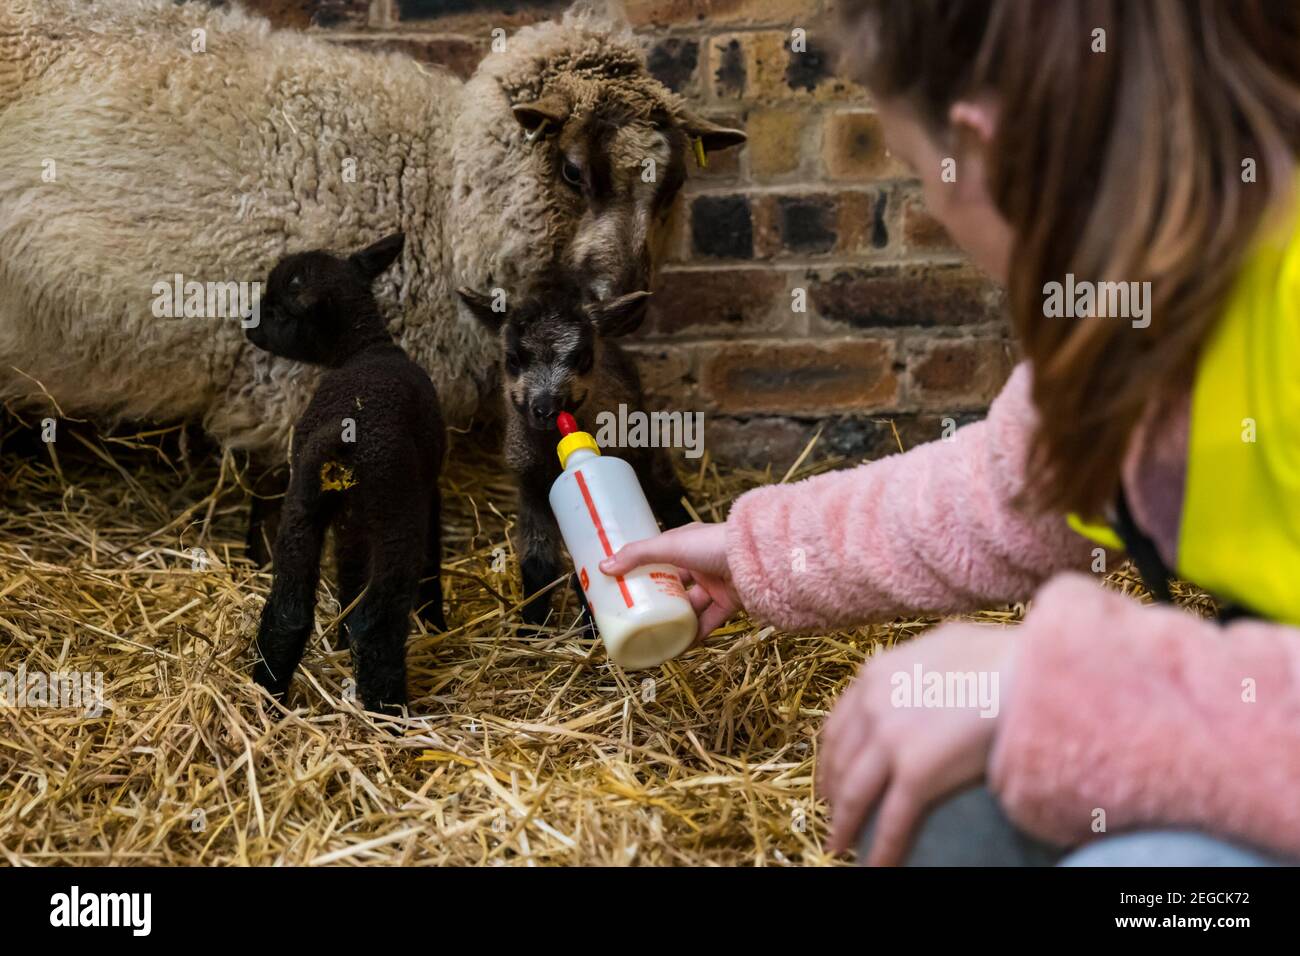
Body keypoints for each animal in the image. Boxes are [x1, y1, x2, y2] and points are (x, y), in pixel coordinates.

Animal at [247, 232, 445, 715]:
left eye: (278, 309)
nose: (247, 324)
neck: (364, 347)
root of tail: (344, 439)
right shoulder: (426, 493)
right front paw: (436, 621)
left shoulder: (348, 518)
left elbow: (349, 572)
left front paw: (337, 642)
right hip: (397, 520)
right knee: (376, 623)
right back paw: (390, 714)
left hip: (301, 511)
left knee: (288, 610)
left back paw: (267, 696)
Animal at [457, 283, 692, 629]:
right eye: (513, 359)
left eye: (582, 358)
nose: (546, 409)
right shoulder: (531, 486)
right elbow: (537, 561)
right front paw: (531, 626)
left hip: (643, 440)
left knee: (667, 490)